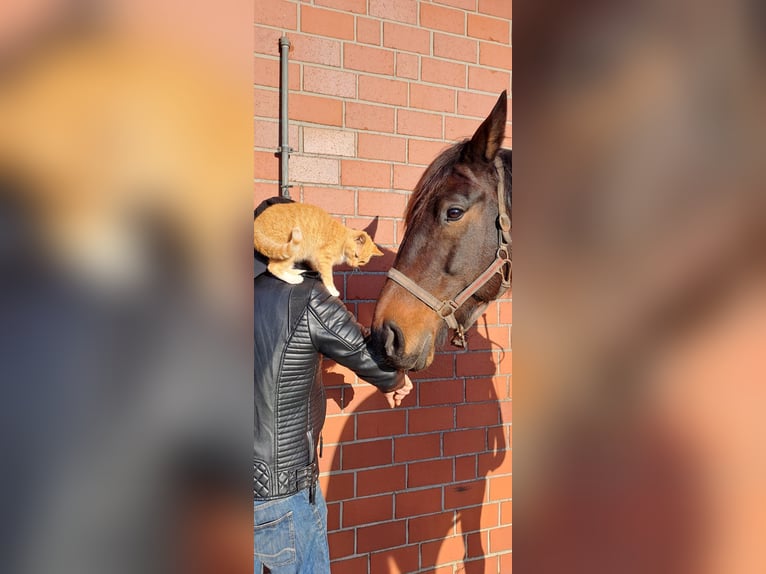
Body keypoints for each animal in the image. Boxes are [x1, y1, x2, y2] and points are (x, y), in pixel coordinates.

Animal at [254, 202, 382, 300]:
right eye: (356, 255)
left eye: (362, 262)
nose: (355, 265)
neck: (343, 240)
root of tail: (256, 223)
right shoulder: (324, 258)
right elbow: (328, 276)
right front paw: (333, 290)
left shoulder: (315, 259)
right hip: (293, 250)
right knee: (273, 267)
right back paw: (294, 279)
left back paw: (297, 272)